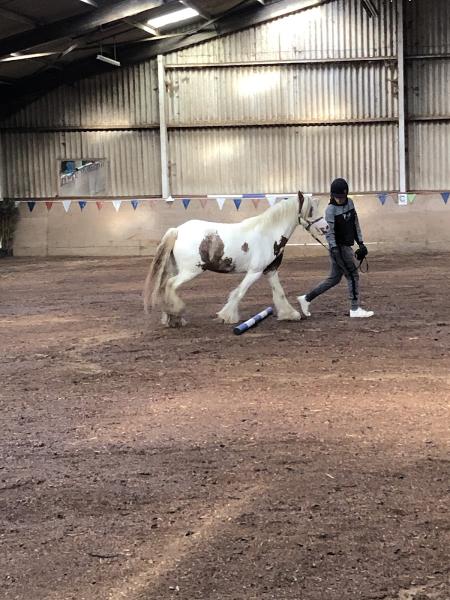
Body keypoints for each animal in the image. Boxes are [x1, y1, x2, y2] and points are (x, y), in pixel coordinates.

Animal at [144, 191, 326, 324]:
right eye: (311, 210)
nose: (326, 227)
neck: (268, 234)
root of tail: (177, 230)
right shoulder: (254, 272)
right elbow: (239, 292)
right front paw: (226, 316)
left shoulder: (270, 271)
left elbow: (279, 293)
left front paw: (290, 314)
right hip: (190, 271)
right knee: (169, 285)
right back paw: (176, 312)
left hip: (178, 270)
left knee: (165, 288)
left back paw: (172, 318)